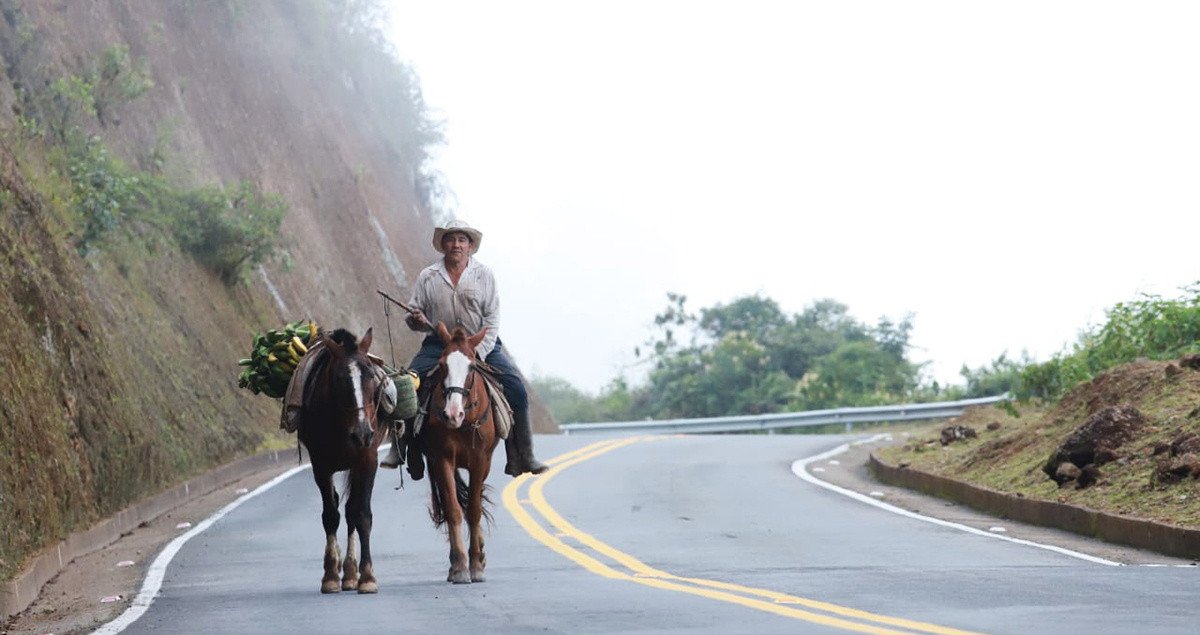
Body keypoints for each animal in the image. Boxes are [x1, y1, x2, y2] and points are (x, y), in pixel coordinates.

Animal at [296, 328, 381, 590]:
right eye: (339, 379)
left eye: (371, 376)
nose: (362, 433)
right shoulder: (321, 465)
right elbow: (331, 515)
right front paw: (331, 575)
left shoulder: (367, 459)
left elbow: (361, 514)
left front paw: (367, 576)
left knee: (352, 508)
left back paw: (352, 572)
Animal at [424, 324, 499, 580]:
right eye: (442, 365)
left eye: (472, 366)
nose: (452, 414)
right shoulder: (441, 458)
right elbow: (454, 510)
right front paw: (459, 566)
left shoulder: (480, 461)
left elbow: (474, 510)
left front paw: (475, 565)